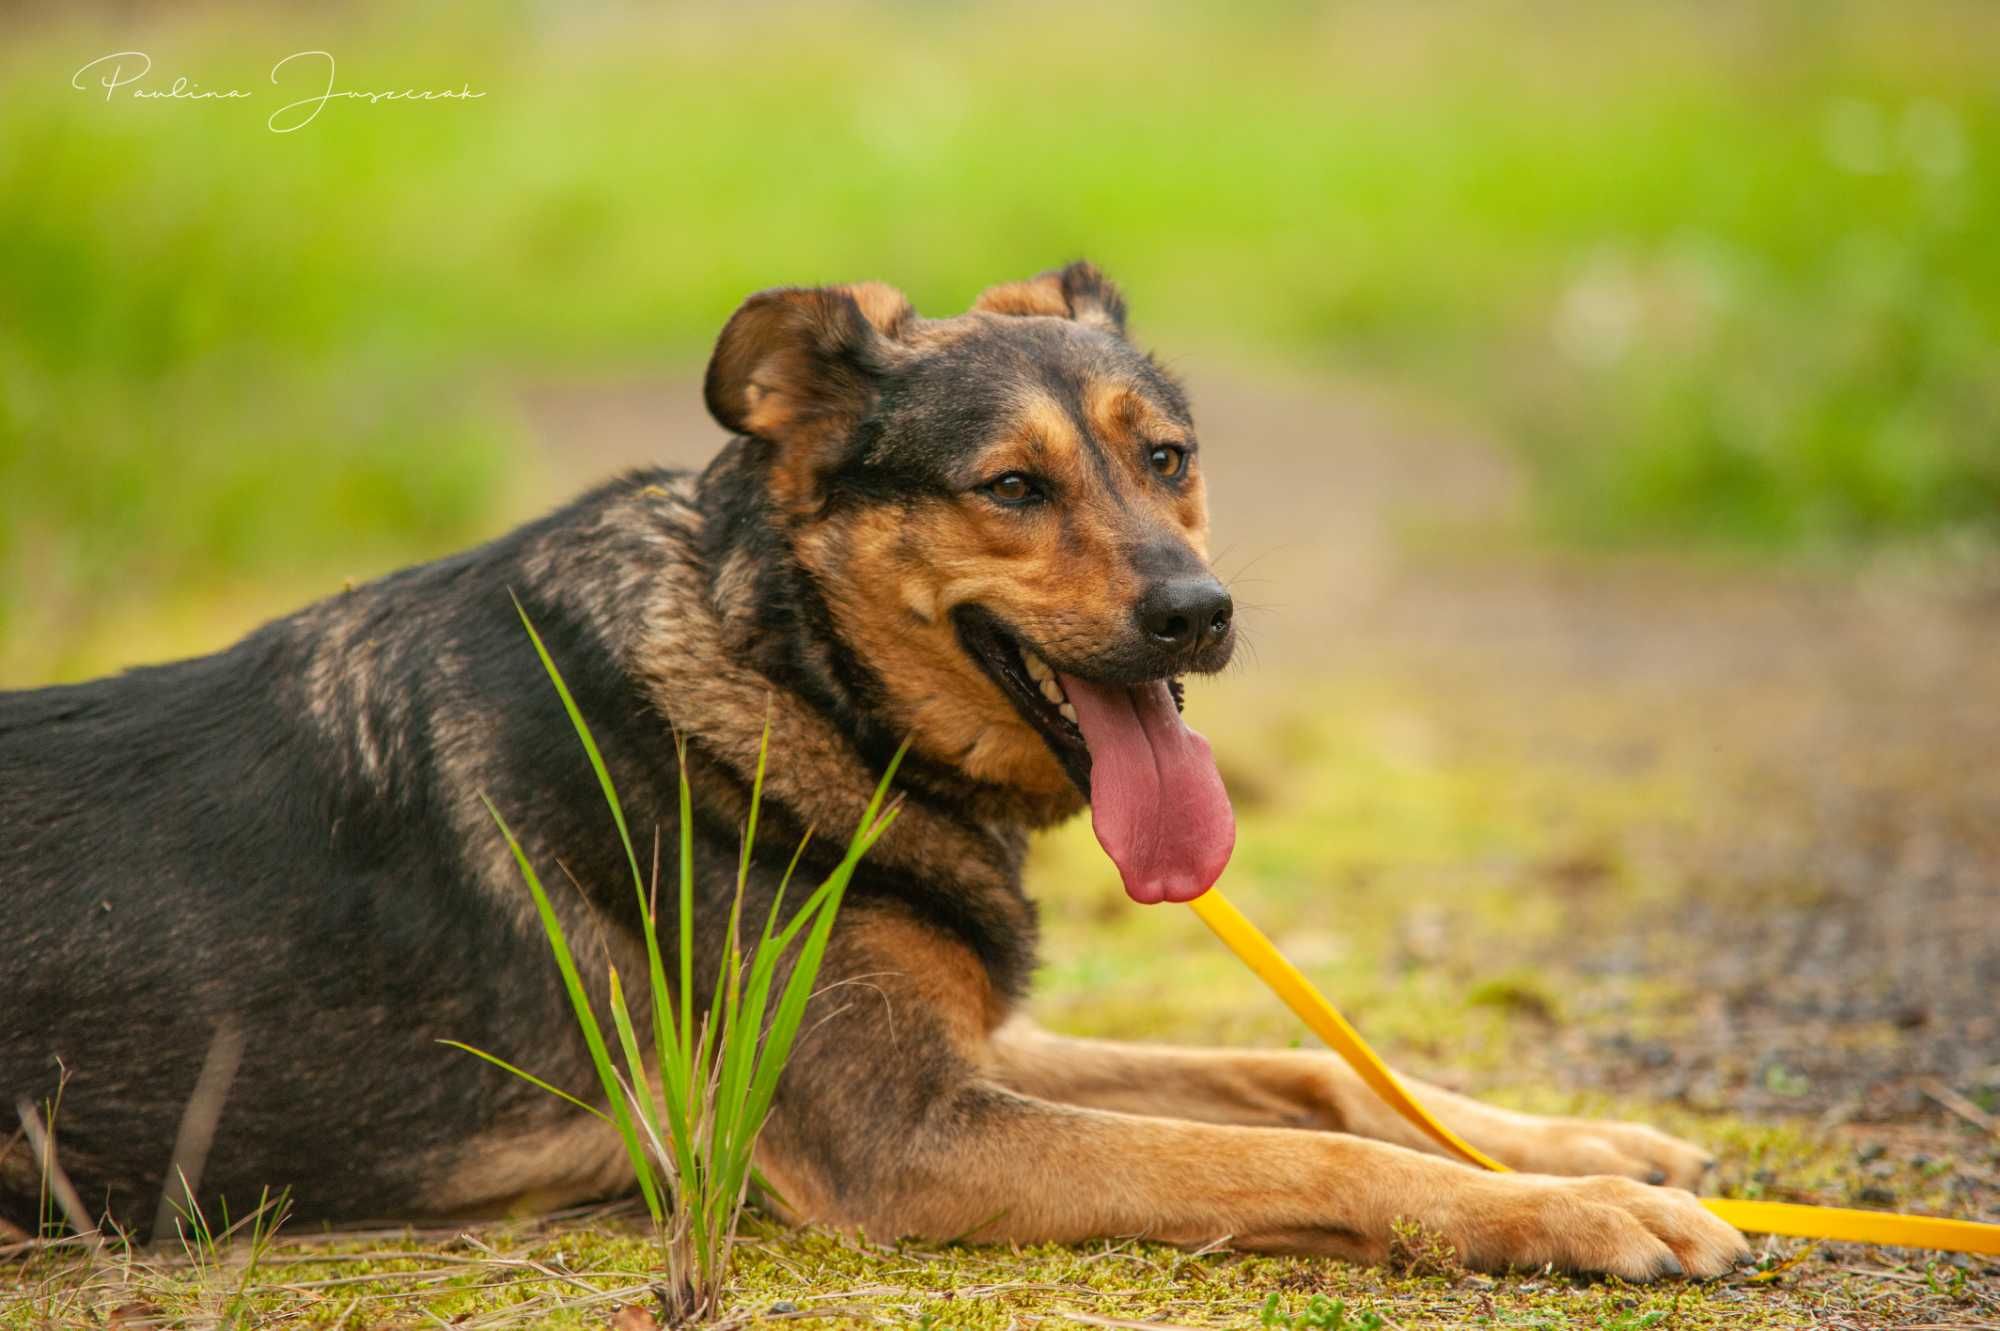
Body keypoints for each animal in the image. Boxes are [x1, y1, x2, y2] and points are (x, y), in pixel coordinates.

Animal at [3, 261, 1752, 1279]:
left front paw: (1584, 1143)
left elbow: (1303, 1073)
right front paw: (1576, 1211)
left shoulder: (964, 1052)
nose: (1201, 614)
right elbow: (1288, 1143)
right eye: (1011, 487)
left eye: (1168, 458)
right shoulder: (901, 1131)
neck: (800, 677)